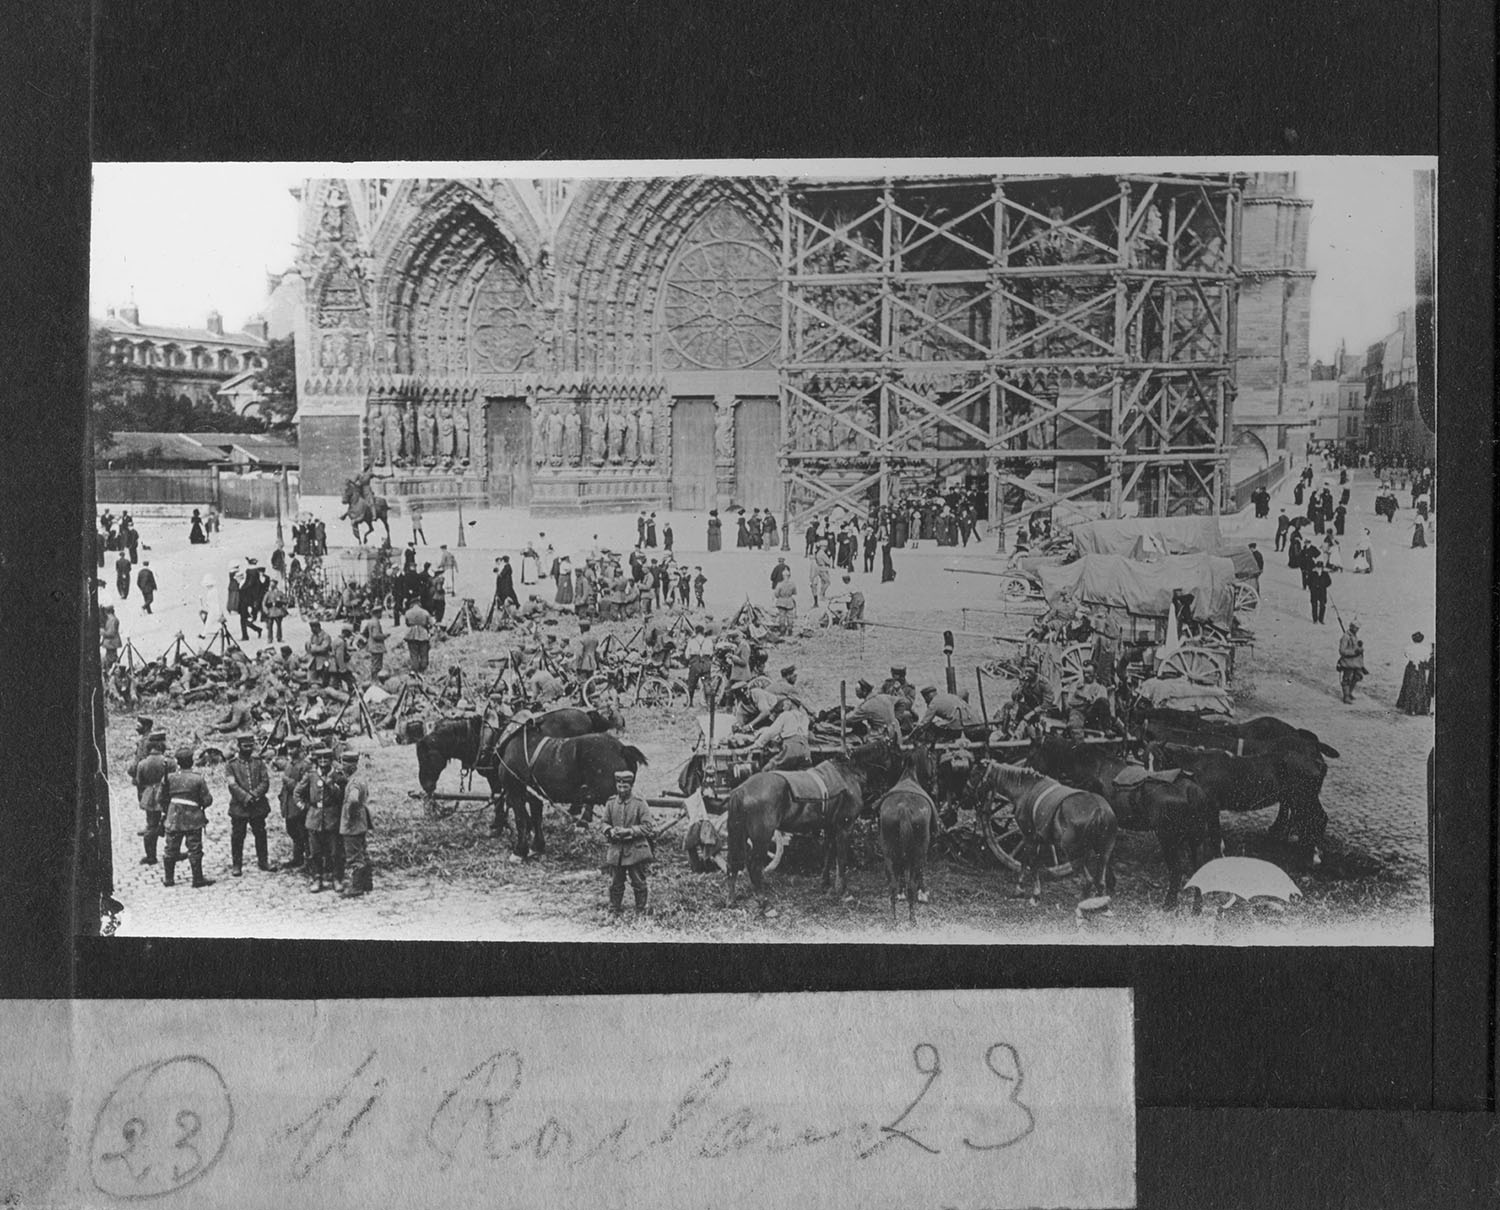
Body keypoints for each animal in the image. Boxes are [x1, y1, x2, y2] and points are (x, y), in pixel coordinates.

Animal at [414, 704, 630, 863]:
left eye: (426, 756)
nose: (426, 786)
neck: (488, 738)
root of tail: (587, 715)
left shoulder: (500, 781)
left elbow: (502, 803)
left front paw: (500, 827)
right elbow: (521, 808)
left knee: (589, 800)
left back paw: (582, 821)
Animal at [723, 737, 894, 917]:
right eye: (890, 753)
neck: (847, 772)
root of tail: (741, 789)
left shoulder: (830, 827)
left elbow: (828, 853)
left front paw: (825, 884)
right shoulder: (845, 826)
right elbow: (841, 858)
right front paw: (843, 892)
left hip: (738, 835)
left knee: (733, 863)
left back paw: (731, 901)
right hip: (762, 838)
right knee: (754, 866)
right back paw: (765, 904)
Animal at [960, 755, 1116, 911]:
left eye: (973, 774)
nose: (965, 797)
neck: (1027, 789)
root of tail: (1099, 809)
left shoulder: (1029, 836)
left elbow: (1032, 863)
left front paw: (1033, 894)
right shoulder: (1034, 838)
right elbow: (1025, 860)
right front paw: (1020, 889)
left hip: (1073, 852)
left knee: (1088, 881)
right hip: (1104, 853)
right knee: (1100, 882)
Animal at [1026, 728, 1224, 911]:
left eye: (1032, 754)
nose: (1027, 771)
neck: (1093, 767)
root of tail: (1192, 790)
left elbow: (1101, 853)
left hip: (1168, 838)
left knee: (1177, 869)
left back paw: (1169, 903)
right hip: (1195, 837)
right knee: (1198, 867)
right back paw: (1196, 907)